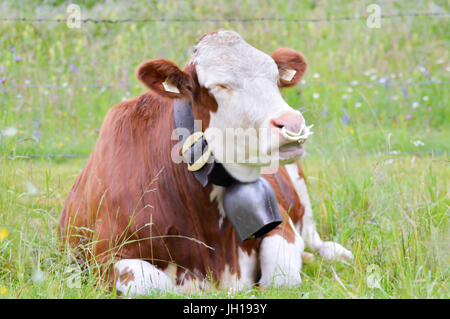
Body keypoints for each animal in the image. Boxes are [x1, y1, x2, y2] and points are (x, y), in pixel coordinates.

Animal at [59, 30, 354, 298]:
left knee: (313, 237)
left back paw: (334, 253)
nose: (292, 123)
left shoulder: (282, 226)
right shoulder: (104, 259)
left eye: (275, 79)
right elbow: (155, 286)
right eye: (220, 86)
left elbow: (280, 279)